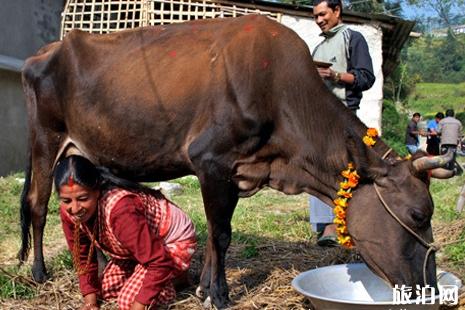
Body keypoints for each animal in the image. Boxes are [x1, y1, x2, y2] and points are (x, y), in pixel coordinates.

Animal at [19, 15, 454, 308]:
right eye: (418, 214)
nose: (430, 287)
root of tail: (44, 52)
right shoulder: (210, 159)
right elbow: (221, 234)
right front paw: (219, 294)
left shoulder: (237, 171)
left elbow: (217, 232)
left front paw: (203, 288)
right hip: (45, 139)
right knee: (38, 205)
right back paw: (38, 272)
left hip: (78, 148)